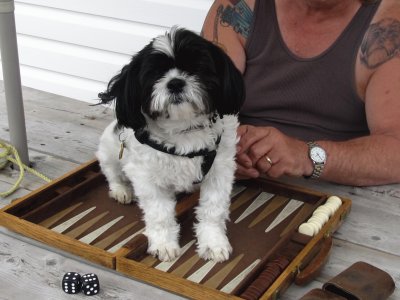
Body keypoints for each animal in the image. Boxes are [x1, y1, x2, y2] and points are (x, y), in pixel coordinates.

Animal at [97, 28, 245, 262]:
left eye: (197, 68)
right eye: (155, 73)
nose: (175, 83)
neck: (184, 129)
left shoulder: (219, 170)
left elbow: (213, 209)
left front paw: (213, 242)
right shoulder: (146, 177)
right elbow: (159, 214)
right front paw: (164, 244)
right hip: (109, 149)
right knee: (112, 173)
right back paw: (121, 190)